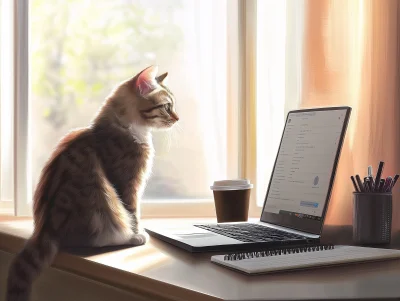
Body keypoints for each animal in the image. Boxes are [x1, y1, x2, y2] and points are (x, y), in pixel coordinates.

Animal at [5, 65, 178, 300]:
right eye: (167, 106)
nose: (178, 118)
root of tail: (45, 230)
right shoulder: (128, 183)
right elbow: (133, 212)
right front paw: (138, 233)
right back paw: (129, 238)